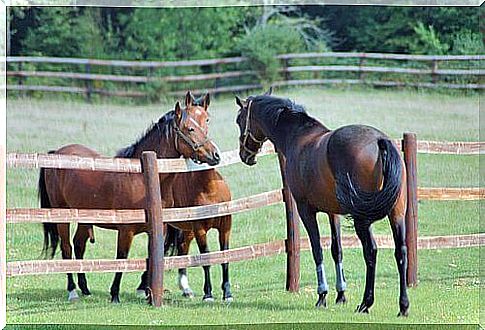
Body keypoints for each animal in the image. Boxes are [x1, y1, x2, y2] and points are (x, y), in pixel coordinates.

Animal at [37, 91, 219, 302]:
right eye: (190, 128)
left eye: (207, 122)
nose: (215, 155)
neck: (144, 177)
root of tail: (56, 152)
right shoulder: (126, 231)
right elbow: (122, 257)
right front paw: (115, 294)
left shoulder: (158, 229)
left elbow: (153, 256)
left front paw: (149, 293)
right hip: (62, 216)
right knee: (66, 248)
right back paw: (73, 291)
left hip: (84, 217)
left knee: (79, 245)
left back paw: (85, 289)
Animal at [234, 90, 408, 318]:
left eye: (239, 120)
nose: (244, 155)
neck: (299, 137)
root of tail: (380, 141)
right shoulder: (333, 213)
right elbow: (337, 250)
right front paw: (341, 294)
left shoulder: (305, 210)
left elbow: (317, 249)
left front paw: (322, 295)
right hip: (396, 214)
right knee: (401, 251)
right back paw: (403, 306)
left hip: (362, 219)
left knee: (371, 252)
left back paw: (365, 303)